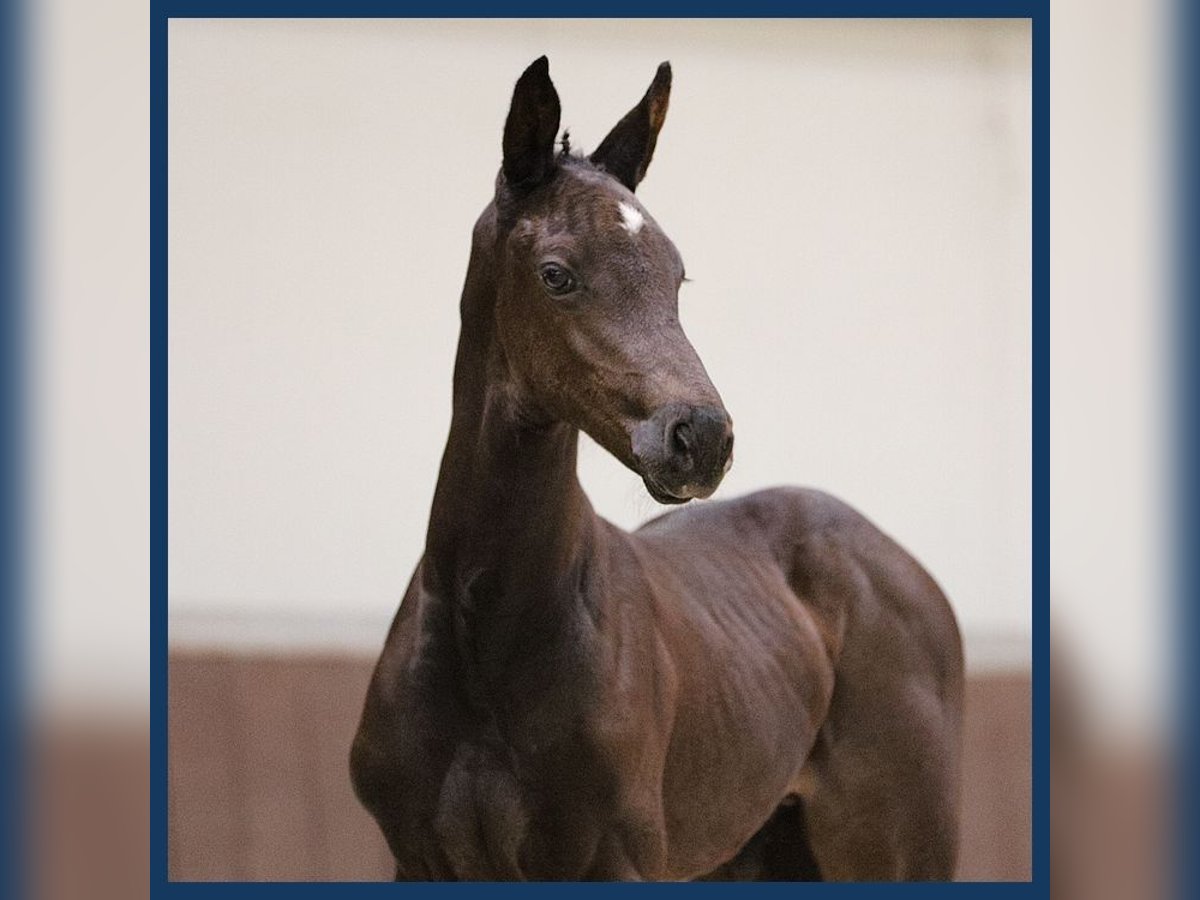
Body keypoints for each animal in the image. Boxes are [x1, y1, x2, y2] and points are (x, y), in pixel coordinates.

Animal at [350, 56, 964, 883]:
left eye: (676, 278)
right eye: (557, 274)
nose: (700, 437)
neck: (487, 637)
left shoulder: (613, 860)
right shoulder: (420, 861)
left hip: (895, 848)